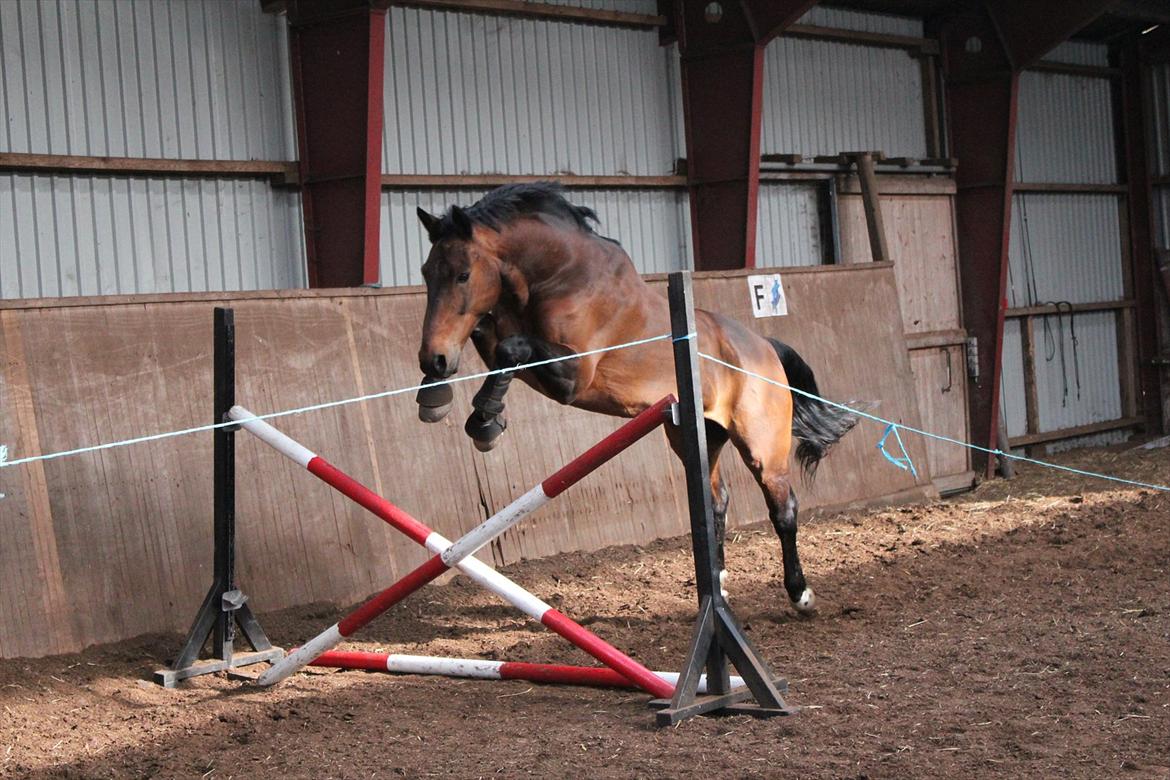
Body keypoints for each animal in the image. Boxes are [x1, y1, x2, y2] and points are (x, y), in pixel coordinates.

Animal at [416, 183, 856, 617]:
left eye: (463, 274)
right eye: (425, 273)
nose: (431, 357)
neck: (559, 277)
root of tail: (764, 347)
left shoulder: (572, 376)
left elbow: (510, 348)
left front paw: (483, 420)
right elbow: (492, 340)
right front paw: (444, 399)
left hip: (761, 445)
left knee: (783, 508)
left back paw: (800, 595)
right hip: (696, 436)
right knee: (717, 502)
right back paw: (719, 586)